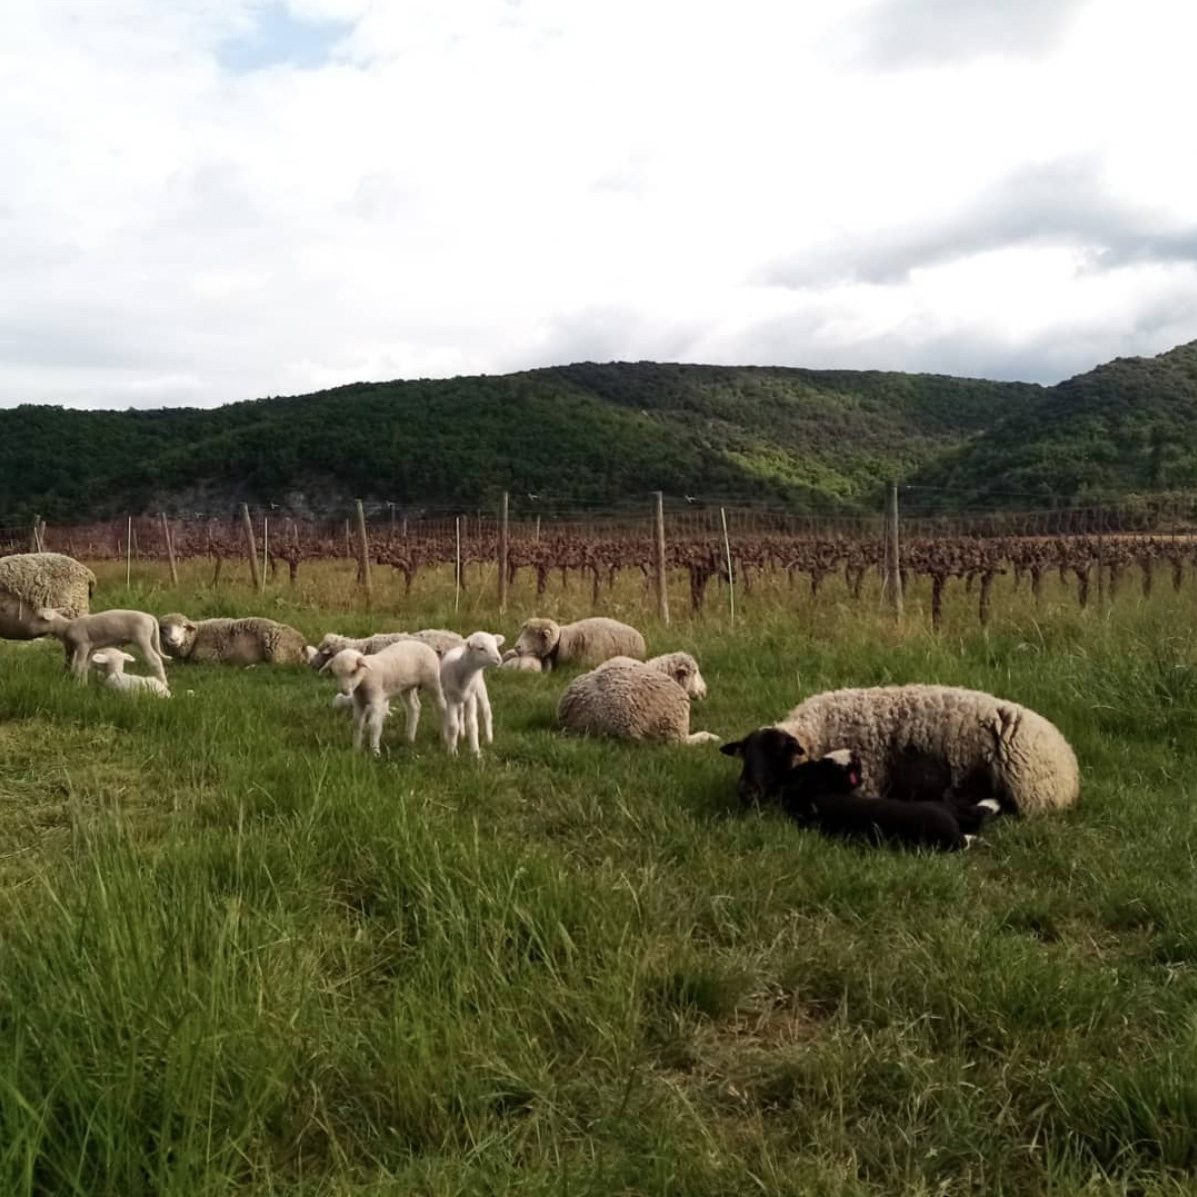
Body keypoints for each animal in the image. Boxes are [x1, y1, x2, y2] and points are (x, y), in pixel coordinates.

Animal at [25, 608, 169, 684]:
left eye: (38, 618)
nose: (28, 630)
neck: (66, 627)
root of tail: (150, 618)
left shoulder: (82, 644)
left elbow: (79, 665)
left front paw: (76, 683)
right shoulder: (90, 648)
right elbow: (85, 665)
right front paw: (83, 683)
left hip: (142, 638)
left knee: (155, 660)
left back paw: (164, 683)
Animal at [722, 689, 1082, 818]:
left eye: (777, 752)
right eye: (745, 756)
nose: (744, 792)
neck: (817, 731)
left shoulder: (865, 782)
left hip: (1032, 793)